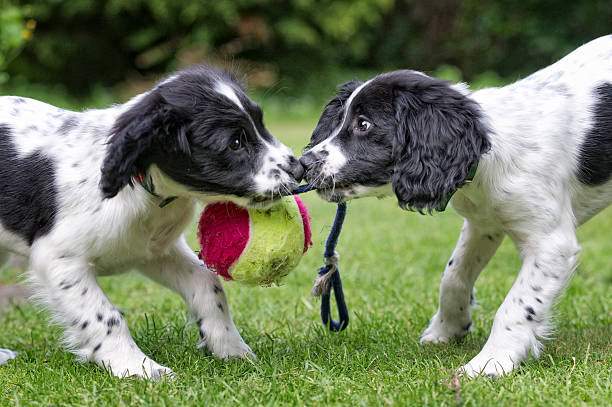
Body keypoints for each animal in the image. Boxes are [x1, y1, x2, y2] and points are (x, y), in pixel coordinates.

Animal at [0, 66, 304, 380]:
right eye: (235, 143)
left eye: (261, 124)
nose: (300, 168)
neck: (139, 186)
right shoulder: (59, 259)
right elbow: (106, 317)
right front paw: (138, 368)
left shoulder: (155, 251)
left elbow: (208, 283)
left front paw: (230, 348)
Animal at [300, 36, 612, 378]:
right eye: (340, 120)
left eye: (364, 124)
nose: (303, 164)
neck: (488, 149)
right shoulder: (483, 223)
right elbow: (453, 275)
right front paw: (447, 328)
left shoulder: (550, 243)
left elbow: (518, 304)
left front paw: (491, 362)